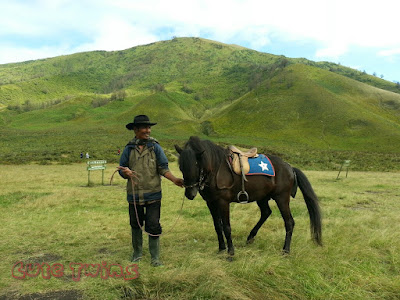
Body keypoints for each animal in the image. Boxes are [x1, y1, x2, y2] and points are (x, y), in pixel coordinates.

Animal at [174, 136, 322, 258]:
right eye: (181, 166)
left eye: (196, 164)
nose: (190, 194)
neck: (216, 169)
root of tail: (290, 167)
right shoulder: (211, 202)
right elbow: (217, 226)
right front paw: (221, 249)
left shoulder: (223, 202)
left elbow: (227, 227)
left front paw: (231, 253)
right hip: (262, 198)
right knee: (266, 212)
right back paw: (250, 237)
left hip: (282, 198)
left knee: (289, 222)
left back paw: (285, 250)